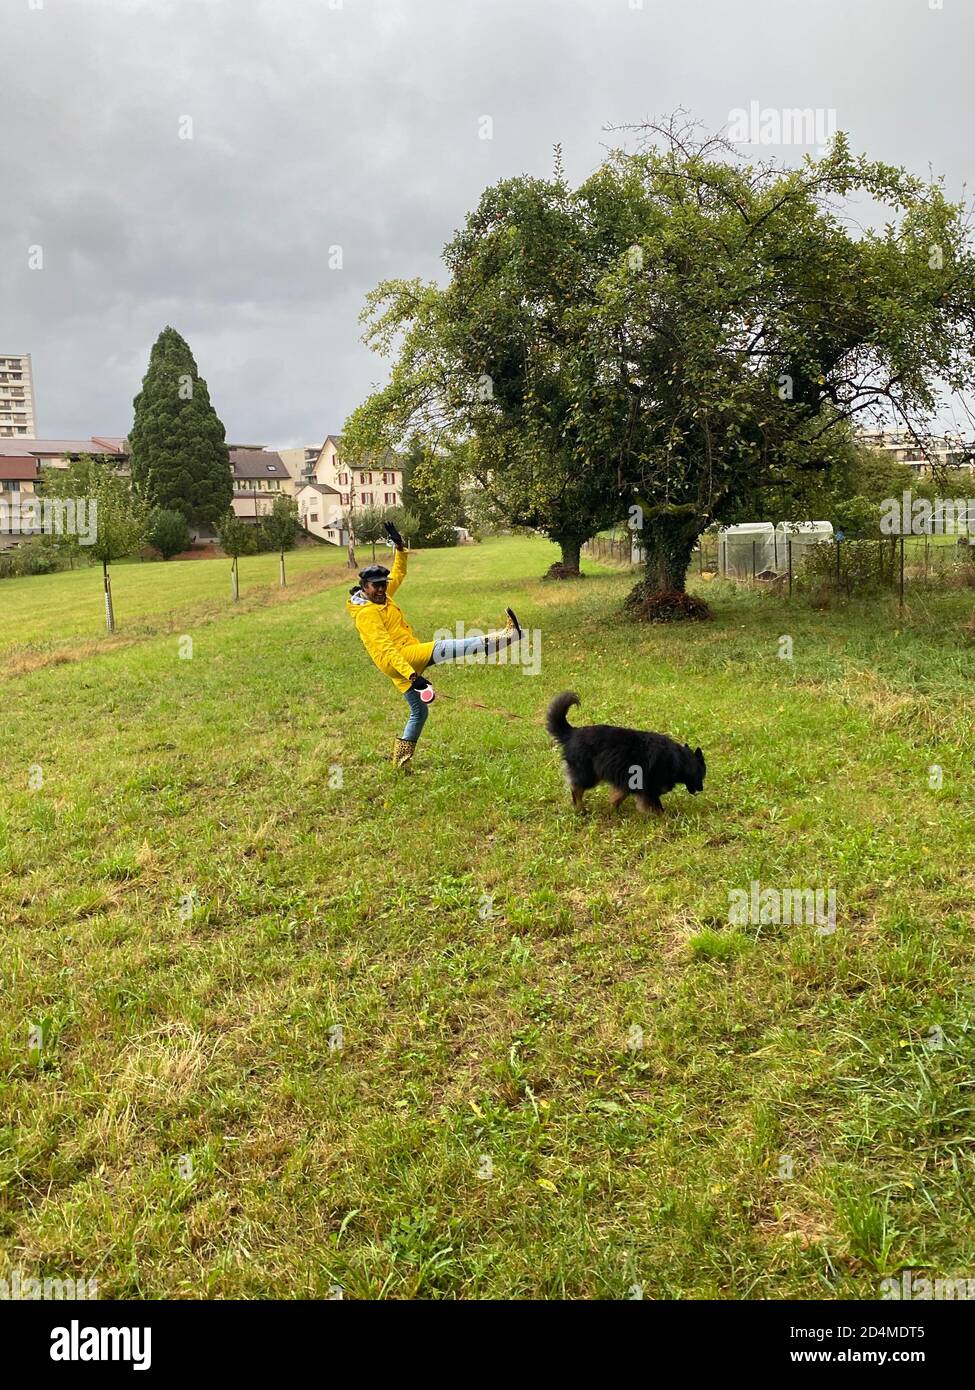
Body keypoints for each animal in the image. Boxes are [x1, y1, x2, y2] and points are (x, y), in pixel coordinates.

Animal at [545, 692, 703, 811]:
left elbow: (617, 798)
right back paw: (580, 809)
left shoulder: (626, 782)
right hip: (588, 775)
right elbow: (657, 808)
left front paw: (613, 810)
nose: (701, 789)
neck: (679, 760)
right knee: (575, 789)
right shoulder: (648, 789)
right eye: (701, 775)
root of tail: (572, 733)